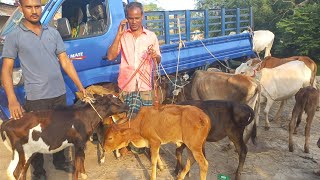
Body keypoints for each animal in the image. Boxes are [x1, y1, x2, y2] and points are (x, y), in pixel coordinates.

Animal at [1, 94, 129, 180]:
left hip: (23, 153)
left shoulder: (81, 144)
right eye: (116, 102)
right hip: (24, 152)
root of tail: (9, 121)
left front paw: (84, 174)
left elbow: (82, 159)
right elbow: (77, 164)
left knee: (15, 172)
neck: (86, 115)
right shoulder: (79, 143)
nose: (127, 106)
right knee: (17, 172)